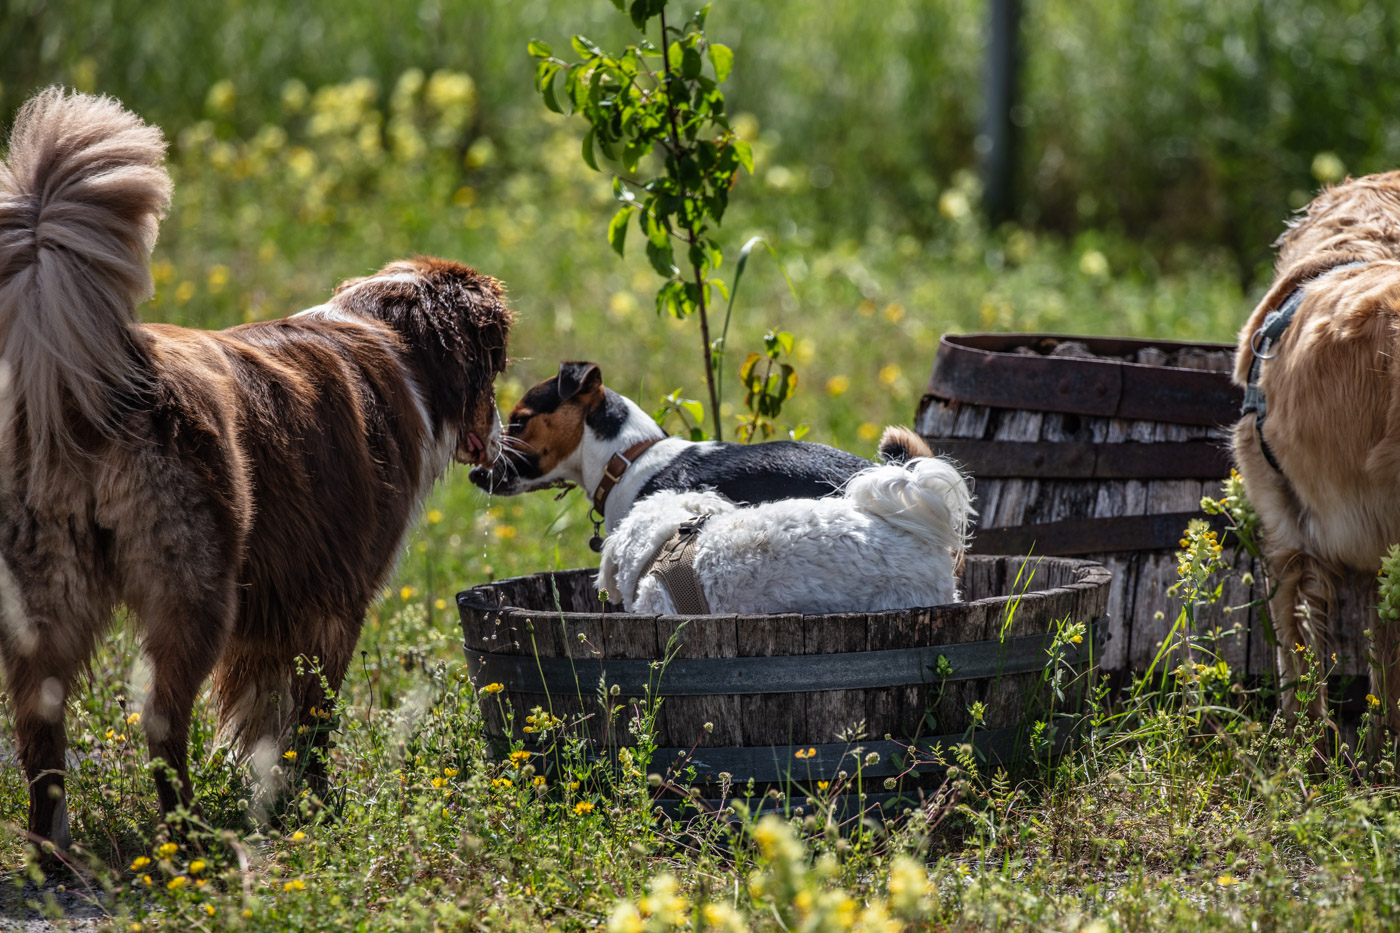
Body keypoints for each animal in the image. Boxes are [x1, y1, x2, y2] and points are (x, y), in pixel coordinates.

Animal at [0, 88, 515, 851]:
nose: (505, 436)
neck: (392, 337)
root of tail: (92, 382)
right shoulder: (337, 597)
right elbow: (314, 718)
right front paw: (317, 804)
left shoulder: (275, 608)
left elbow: (264, 720)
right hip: (195, 587)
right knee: (161, 716)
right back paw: (186, 836)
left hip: (49, 590)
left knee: (40, 724)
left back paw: (51, 847)